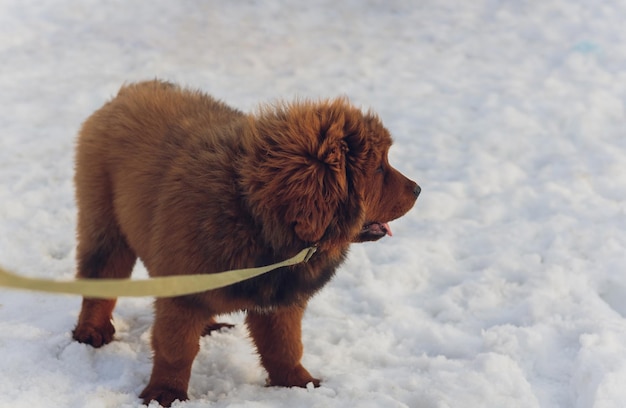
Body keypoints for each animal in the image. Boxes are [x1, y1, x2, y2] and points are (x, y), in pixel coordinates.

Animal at [73, 80, 420, 408]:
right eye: (379, 168)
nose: (418, 189)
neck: (254, 215)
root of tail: (128, 91)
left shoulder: (281, 300)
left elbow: (285, 346)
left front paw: (299, 384)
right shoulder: (182, 294)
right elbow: (176, 349)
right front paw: (165, 393)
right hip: (106, 226)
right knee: (100, 279)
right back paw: (91, 331)